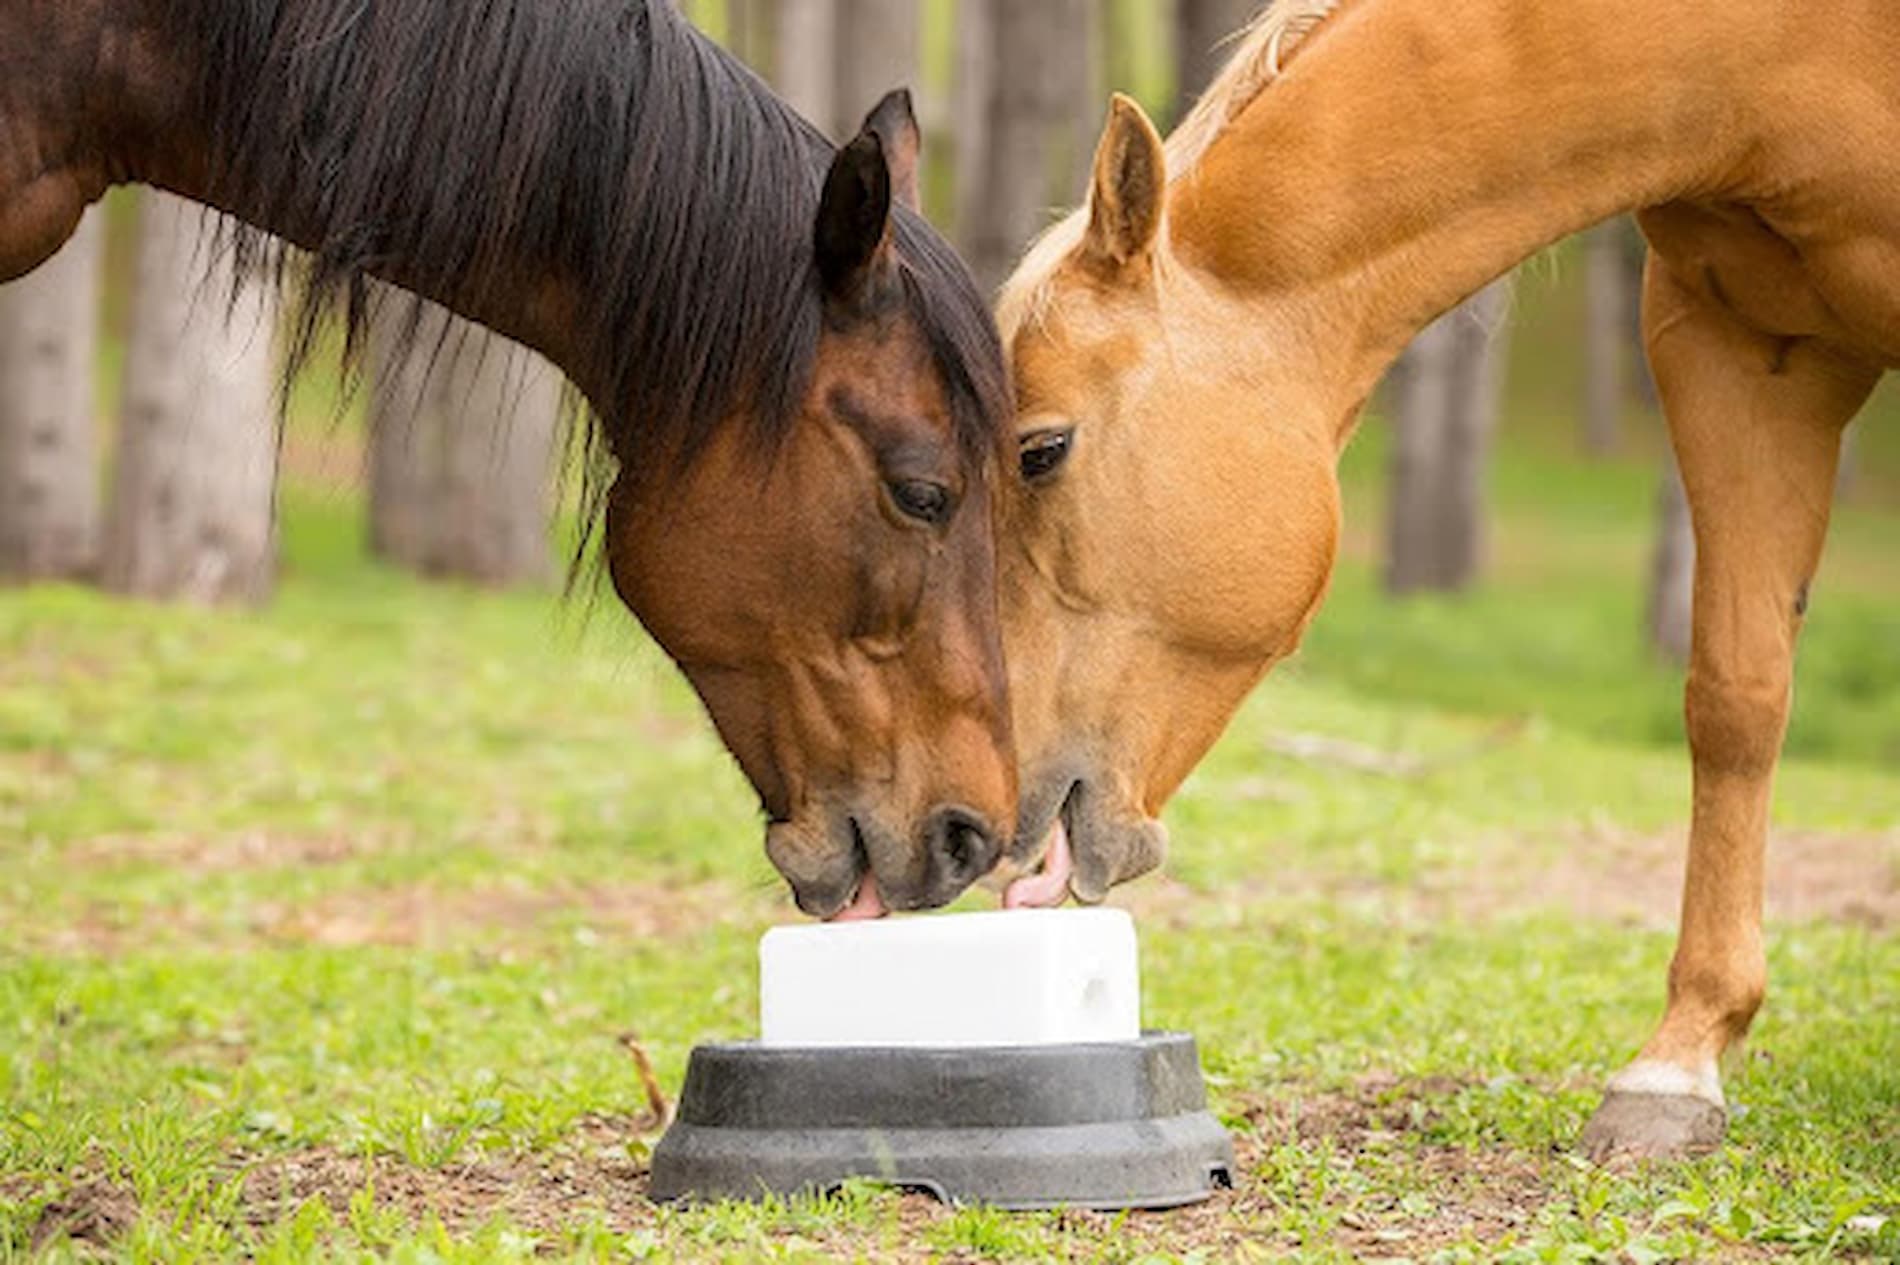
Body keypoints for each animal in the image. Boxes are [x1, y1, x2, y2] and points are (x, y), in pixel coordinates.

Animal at [1003, 0, 1892, 1154]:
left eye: (1039, 450)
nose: (989, 803)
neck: (1766, 63)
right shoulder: (1737, 345)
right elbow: (1736, 699)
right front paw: (1677, 1065)